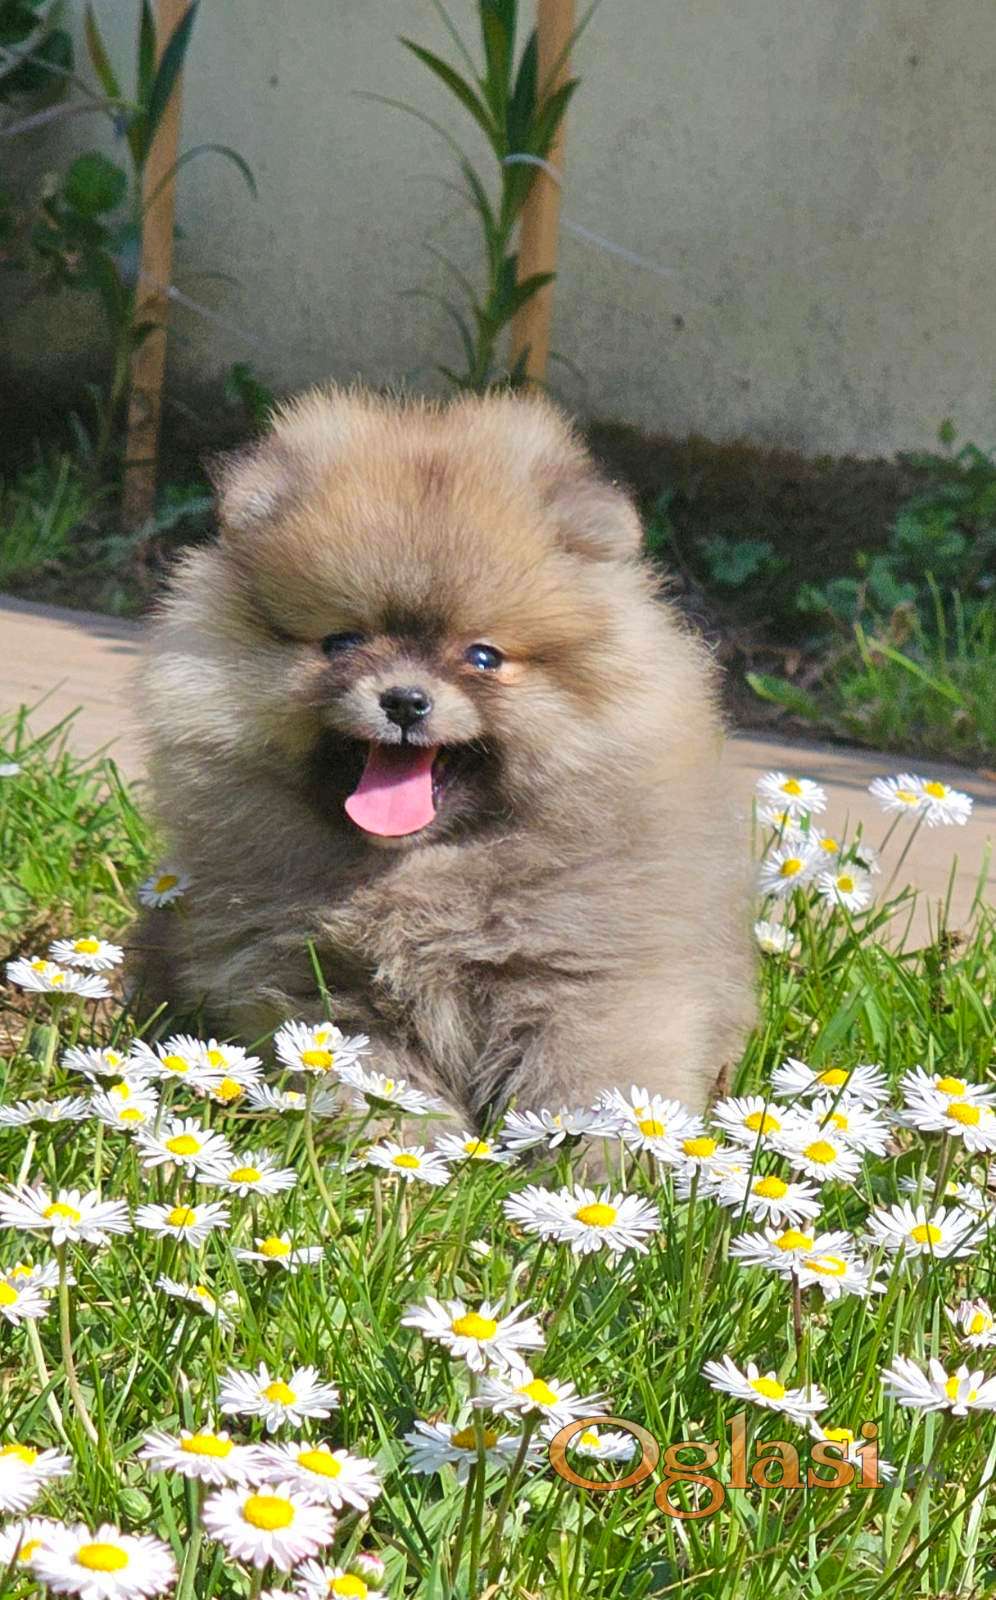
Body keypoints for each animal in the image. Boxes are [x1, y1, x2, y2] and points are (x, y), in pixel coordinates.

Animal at [133, 385, 754, 1125]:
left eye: (483, 657)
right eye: (342, 643)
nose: (405, 700)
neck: (421, 878)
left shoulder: (592, 977)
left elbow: (594, 1080)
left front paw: (608, 1151)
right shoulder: (316, 990)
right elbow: (379, 1086)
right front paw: (411, 1146)